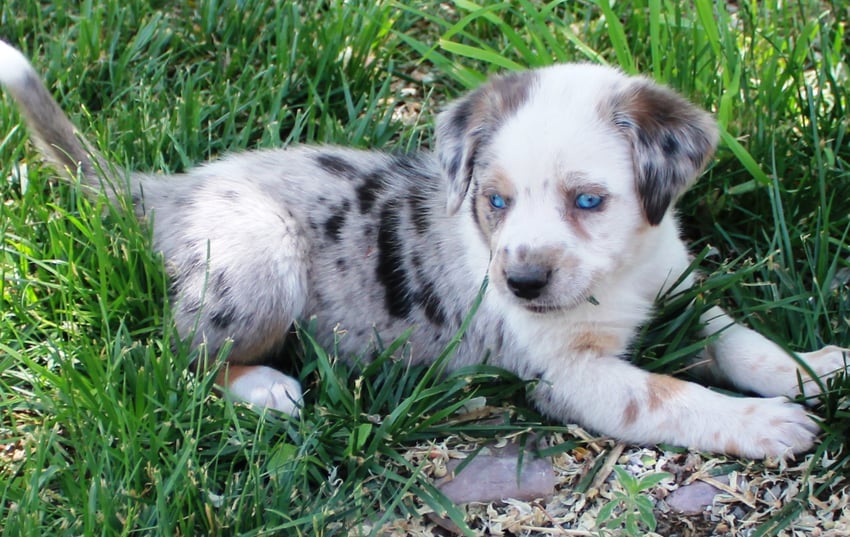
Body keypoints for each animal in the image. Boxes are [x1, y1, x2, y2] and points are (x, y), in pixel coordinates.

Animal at [3, 40, 844, 456]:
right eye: (495, 201)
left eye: (587, 200)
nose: (522, 281)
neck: (620, 276)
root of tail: (174, 189)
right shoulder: (569, 374)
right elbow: (666, 394)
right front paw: (764, 425)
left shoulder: (679, 294)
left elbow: (744, 341)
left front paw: (814, 367)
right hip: (260, 257)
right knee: (175, 361)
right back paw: (265, 388)